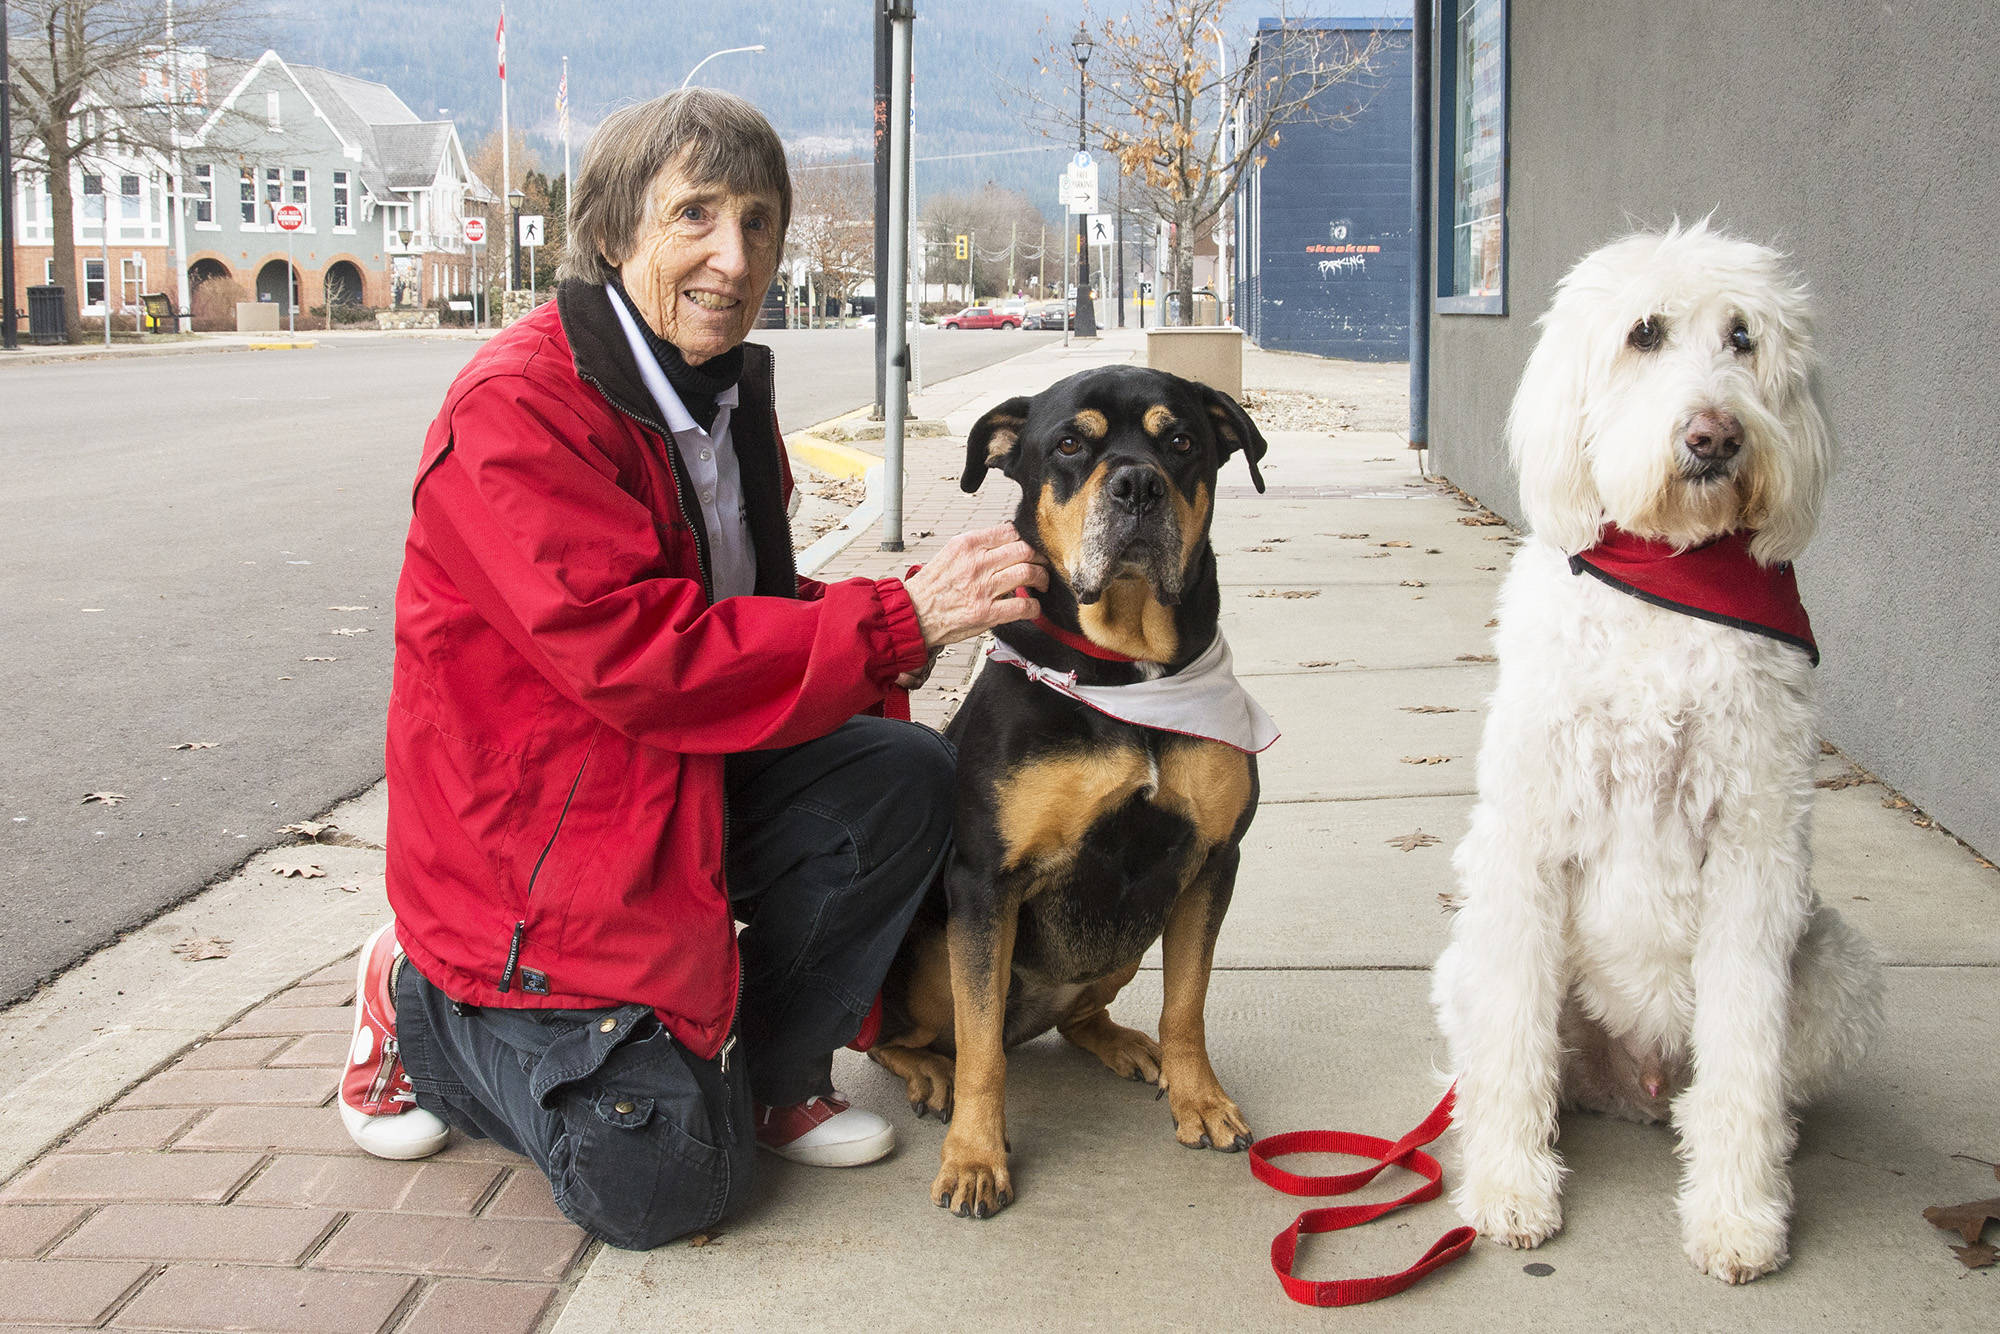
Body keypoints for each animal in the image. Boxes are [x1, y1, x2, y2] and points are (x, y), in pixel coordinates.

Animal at [872, 366, 1264, 1224]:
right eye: (1069, 446)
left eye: (1180, 440)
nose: (1138, 485)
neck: (1127, 672)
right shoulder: (986, 883)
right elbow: (982, 1052)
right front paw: (975, 1159)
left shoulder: (1213, 861)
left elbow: (1187, 1003)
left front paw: (1201, 1099)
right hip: (926, 954)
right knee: (912, 1036)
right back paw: (929, 1073)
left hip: (1127, 939)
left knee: (1084, 1013)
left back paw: (1121, 1041)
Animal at [1432, 224, 1880, 1288]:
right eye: (1644, 333)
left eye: (1744, 337)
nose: (1714, 434)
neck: (1670, 576)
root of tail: (1630, 1079)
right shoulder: (1524, 845)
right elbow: (1511, 1043)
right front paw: (1509, 1186)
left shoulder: (1755, 853)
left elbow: (1744, 1056)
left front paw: (1737, 1215)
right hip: (1469, 960)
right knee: (1511, 1054)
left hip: (1835, 963)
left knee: (1746, 1080)